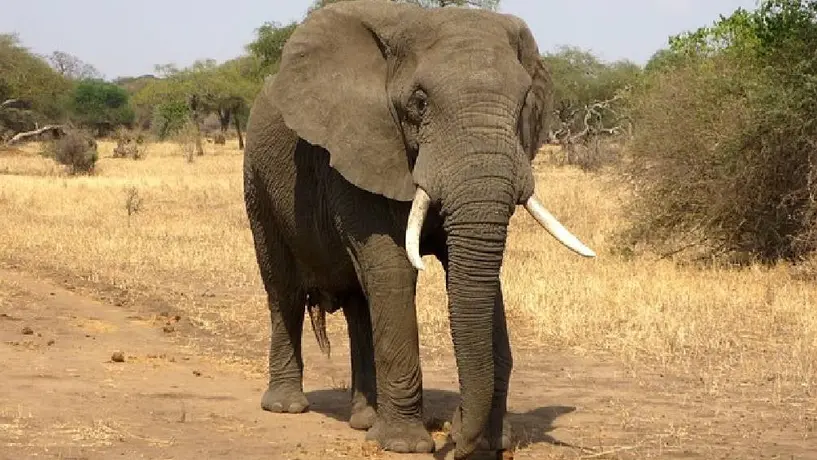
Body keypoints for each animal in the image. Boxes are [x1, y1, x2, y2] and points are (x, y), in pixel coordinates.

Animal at [242, 1, 595, 458]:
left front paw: (489, 442)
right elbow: (394, 269)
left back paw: (364, 419)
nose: (457, 436)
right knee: (282, 288)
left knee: (359, 303)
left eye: (522, 105)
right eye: (420, 102)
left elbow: (477, 277)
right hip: (257, 181)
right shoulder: (361, 148)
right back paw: (287, 407)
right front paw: (404, 445)